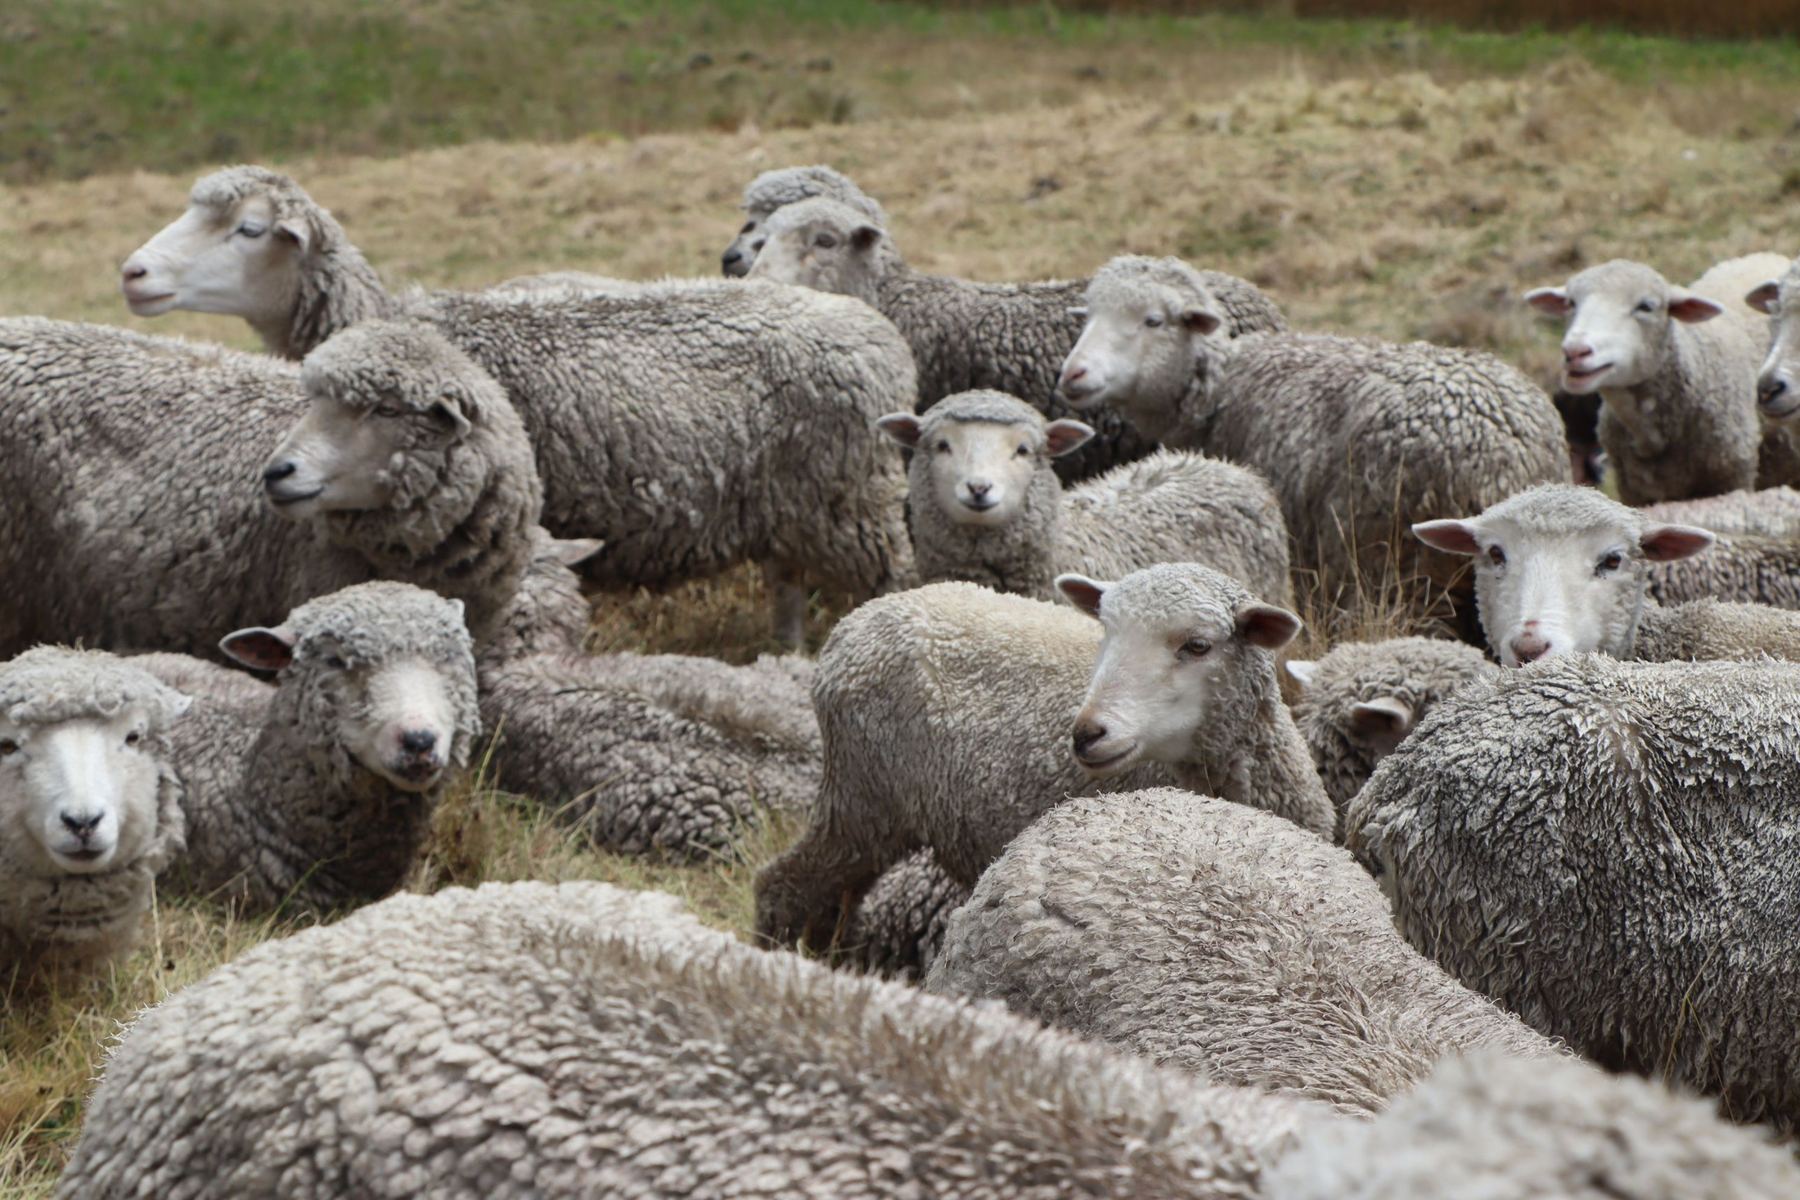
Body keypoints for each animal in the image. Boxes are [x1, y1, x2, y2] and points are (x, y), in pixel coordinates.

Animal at [755, 563, 1333, 958]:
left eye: (1197, 646)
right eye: (1106, 633)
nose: (1086, 734)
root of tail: (856, 621)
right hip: (860, 796)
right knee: (781, 886)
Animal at [1059, 254, 1569, 623]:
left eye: (1153, 321)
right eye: (1089, 317)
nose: (1073, 373)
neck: (1218, 385)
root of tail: (1505, 457)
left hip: (1399, 571)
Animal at [1523, 254, 1791, 504]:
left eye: (1645, 306)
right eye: (1571, 303)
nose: (1575, 351)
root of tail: (1760, 256)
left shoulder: (1733, 480)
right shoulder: (1635, 491)